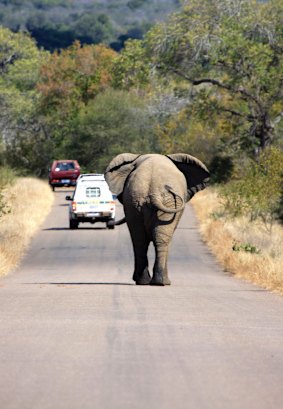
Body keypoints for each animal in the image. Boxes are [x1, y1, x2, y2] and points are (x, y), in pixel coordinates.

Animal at [105, 152, 210, 284]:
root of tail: (153, 193)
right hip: (161, 202)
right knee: (160, 240)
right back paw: (162, 282)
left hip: (135, 202)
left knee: (140, 241)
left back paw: (146, 281)